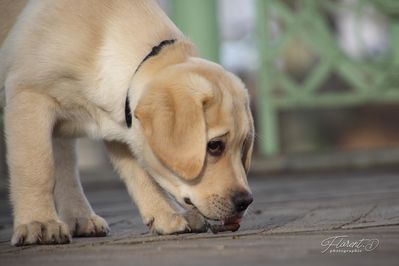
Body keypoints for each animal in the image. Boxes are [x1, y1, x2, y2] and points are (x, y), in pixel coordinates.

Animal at [0, 0, 255, 246]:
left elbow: (141, 174)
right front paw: (39, 222)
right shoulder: (28, 94)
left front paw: (166, 214)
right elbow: (37, 168)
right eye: (214, 146)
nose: (246, 201)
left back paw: (80, 217)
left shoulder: (123, 126)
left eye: (243, 146)